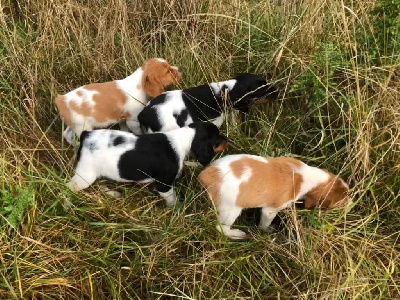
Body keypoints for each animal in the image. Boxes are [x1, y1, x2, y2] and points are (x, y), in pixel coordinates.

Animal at [67, 122, 227, 206]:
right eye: (218, 138)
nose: (227, 139)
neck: (182, 138)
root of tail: (85, 135)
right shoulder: (164, 185)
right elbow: (172, 199)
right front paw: (176, 209)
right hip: (85, 175)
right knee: (68, 187)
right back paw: (67, 204)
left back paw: (113, 193)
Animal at [198, 155, 352, 239]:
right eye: (341, 201)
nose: (352, 202)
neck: (305, 176)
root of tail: (206, 174)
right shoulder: (270, 210)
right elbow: (265, 223)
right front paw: (266, 230)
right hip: (230, 210)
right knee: (221, 228)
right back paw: (236, 234)